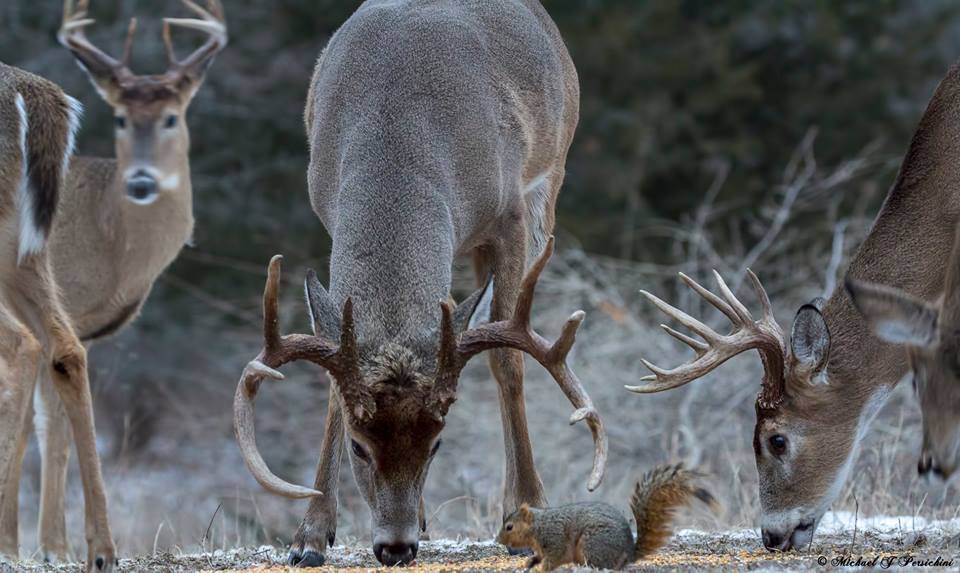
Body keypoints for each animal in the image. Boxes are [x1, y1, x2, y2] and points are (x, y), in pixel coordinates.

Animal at [0, 0, 226, 564]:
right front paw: (42, 545)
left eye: (171, 117)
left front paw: (39, 545)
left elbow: (44, 421)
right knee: (51, 357)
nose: (143, 180)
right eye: (121, 118)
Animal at [231, 0, 607, 567]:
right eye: (359, 446)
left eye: (437, 444)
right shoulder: (328, 217)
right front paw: (310, 536)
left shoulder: (509, 215)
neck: (397, 140)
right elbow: (332, 373)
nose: (395, 546)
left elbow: (507, 358)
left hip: (551, 177)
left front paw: (529, 509)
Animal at [496, 464, 716, 571]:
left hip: (592, 544)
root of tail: (628, 553)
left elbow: (555, 558)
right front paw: (530, 563)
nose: (497, 540)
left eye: (509, 527)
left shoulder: (554, 538)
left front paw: (540, 569)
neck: (538, 526)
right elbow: (539, 556)